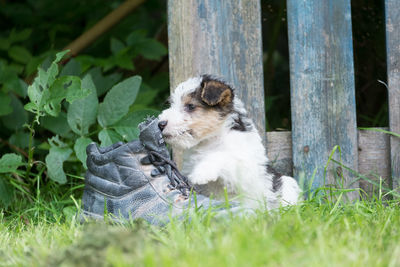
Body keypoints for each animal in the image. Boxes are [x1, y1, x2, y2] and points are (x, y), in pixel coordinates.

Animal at [158, 75, 302, 209]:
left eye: (191, 106)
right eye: (172, 104)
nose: (160, 124)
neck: (210, 140)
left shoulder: (246, 171)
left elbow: (222, 156)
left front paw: (201, 173)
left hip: (288, 184)